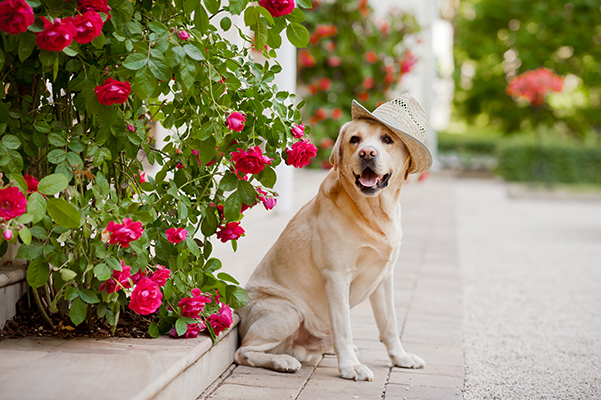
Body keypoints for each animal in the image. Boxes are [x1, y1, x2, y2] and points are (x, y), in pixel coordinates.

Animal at [234, 94, 432, 382]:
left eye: (387, 139)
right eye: (355, 140)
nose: (367, 153)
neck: (374, 213)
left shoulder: (385, 278)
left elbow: (390, 324)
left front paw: (400, 357)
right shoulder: (337, 277)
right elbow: (344, 328)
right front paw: (351, 367)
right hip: (288, 311)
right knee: (244, 351)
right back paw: (282, 361)